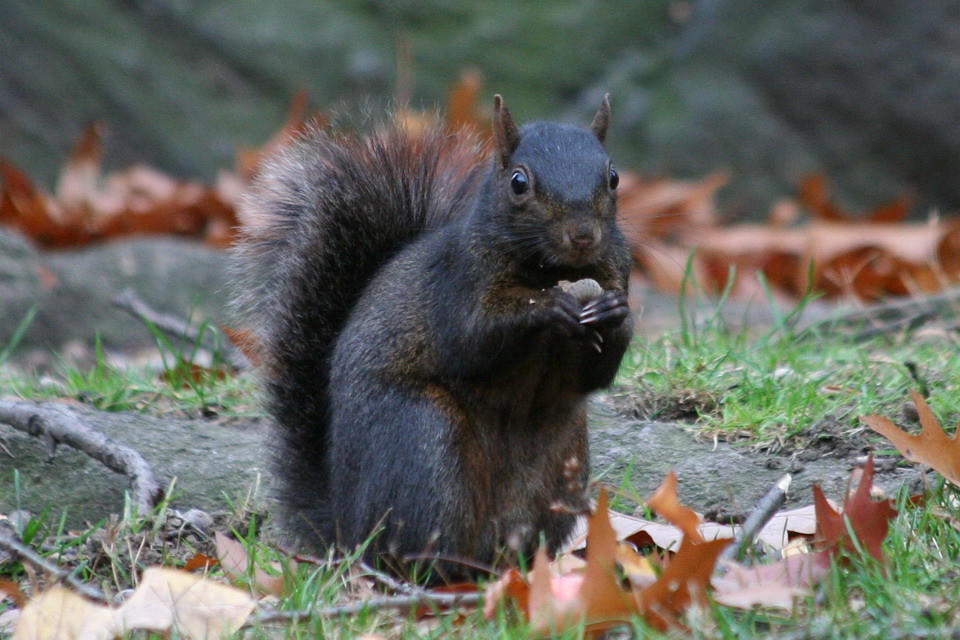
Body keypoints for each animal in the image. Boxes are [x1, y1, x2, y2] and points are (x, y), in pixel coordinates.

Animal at [230, 95, 633, 579]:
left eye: (614, 176)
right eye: (518, 182)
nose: (583, 236)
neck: (550, 271)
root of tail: (347, 528)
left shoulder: (616, 269)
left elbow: (594, 374)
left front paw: (614, 313)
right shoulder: (459, 281)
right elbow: (473, 342)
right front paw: (548, 307)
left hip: (559, 467)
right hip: (424, 443)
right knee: (415, 548)